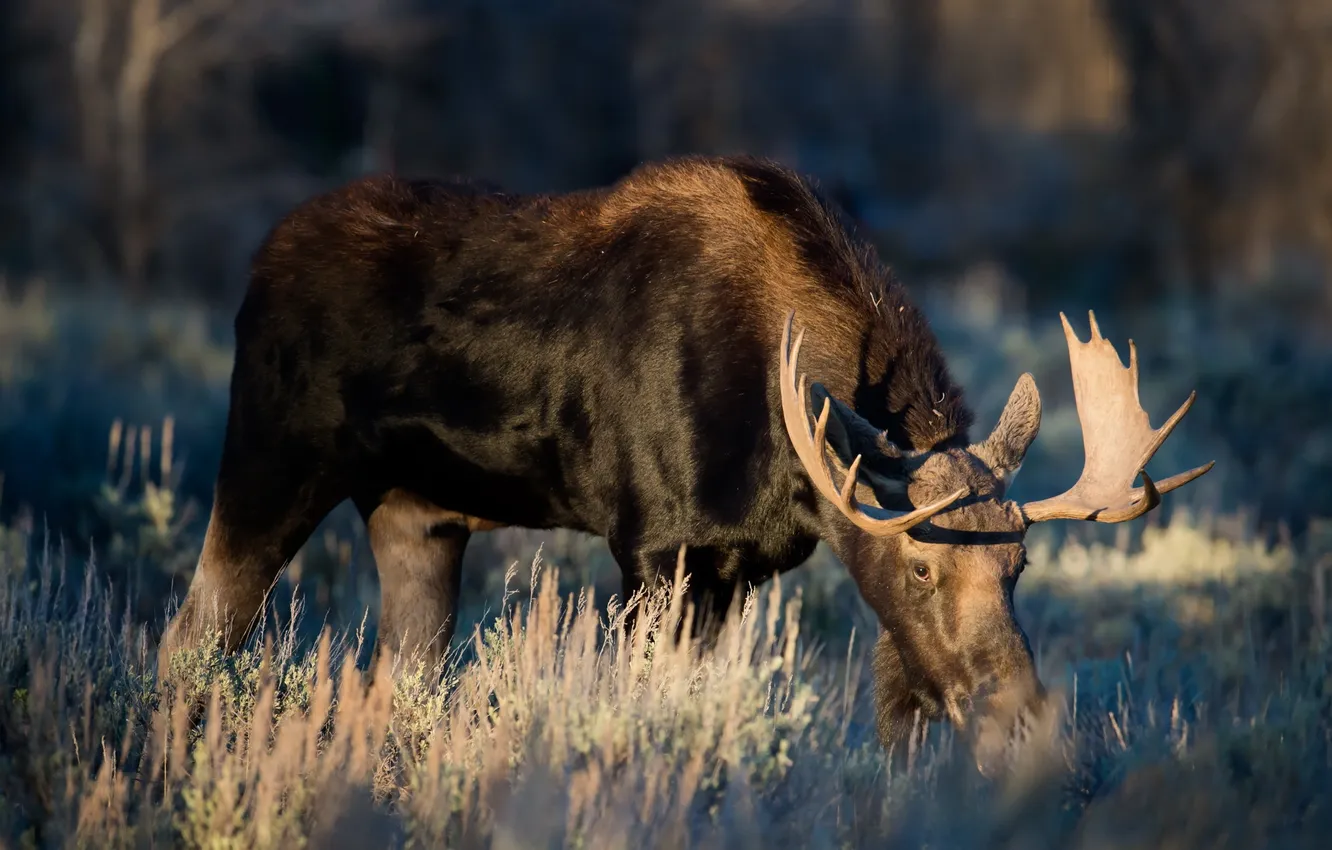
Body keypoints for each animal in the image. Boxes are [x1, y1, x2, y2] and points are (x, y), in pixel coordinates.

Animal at [153, 154, 1213, 758]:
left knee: (396, 678)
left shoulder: (732, 569)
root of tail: (254, 270)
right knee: (189, 639)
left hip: (418, 516)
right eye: (919, 564)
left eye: (1020, 563)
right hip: (272, 455)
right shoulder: (653, 548)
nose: (1021, 716)